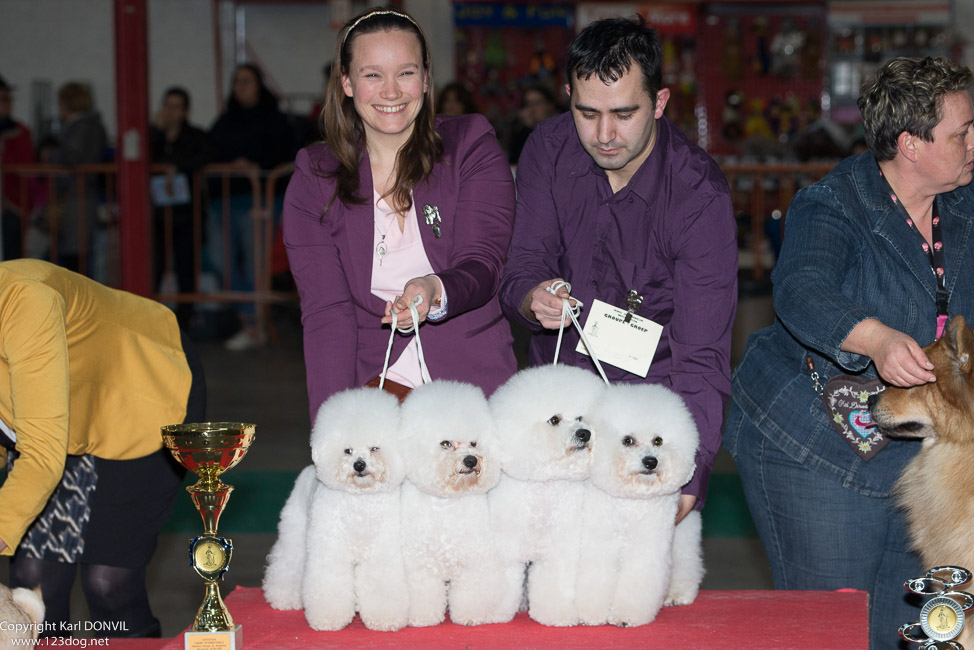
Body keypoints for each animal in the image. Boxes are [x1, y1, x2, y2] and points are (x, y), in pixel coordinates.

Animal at [260, 384, 408, 628]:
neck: (359, 500)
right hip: (295, 535)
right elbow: (328, 584)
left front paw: (384, 619)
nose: (359, 465)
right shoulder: (330, 550)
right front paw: (328, 618)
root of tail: (309, 469)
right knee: (287, 564)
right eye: (347, 450)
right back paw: (284, 598)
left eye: (374, 448)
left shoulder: (380, 553)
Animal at [398, 380, 508, 624]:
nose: (471, 460)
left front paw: (470, 616)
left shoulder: (473, 560)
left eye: (474, 443)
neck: (447, 504)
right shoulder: (421, 565)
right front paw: (423, 618)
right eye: (446, 443)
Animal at [488, 364, 608, 624]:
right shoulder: (506, 551)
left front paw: (556, 615)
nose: (584, 433)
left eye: (580, 418)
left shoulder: (558, 553)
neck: (544, 488)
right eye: (554, 420)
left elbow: (555, 584)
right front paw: (492, 614)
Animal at [576, 382, 704, 624]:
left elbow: (639, 579)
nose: (650, 461)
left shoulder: (648, 545)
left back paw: (678, 593)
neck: (632, 500)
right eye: (627, 440)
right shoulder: (600, 541)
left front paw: (626, 615)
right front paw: (592, 613)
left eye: (658, 440)